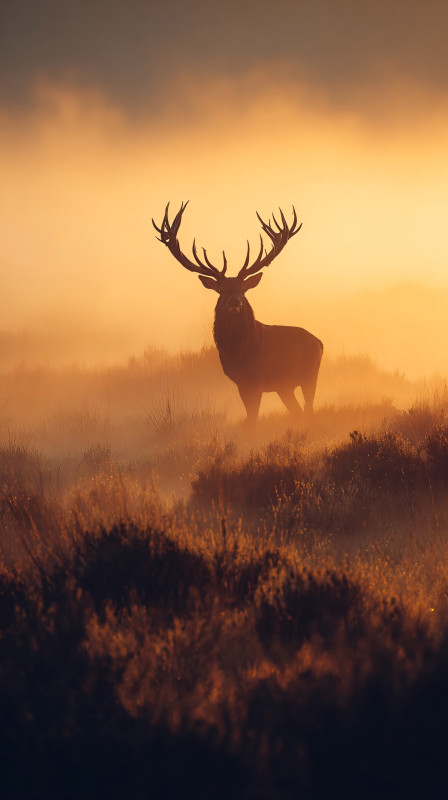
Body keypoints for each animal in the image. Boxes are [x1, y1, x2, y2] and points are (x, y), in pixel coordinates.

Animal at [152, 202, 323, 424]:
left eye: (243, 289)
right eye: (222, 289)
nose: (235, 301)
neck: (240, 351)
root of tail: (319, 342)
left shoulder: (257, 378)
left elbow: (253, 418)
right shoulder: (241, 382)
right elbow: (250, 416)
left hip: (310, 375)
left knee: (309, 409)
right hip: (284, 386)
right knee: (297, 411)